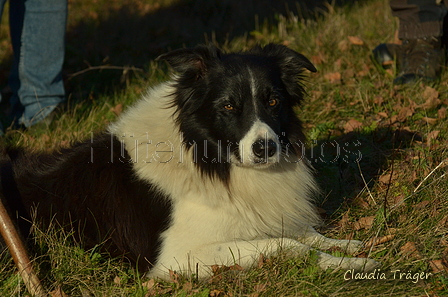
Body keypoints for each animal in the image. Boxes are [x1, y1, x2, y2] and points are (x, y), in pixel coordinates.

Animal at [0, 44, 378, 280]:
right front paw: (343, 263)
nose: (266, 149)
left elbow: (304, 232)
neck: (205, 158)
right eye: (228, 106)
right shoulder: (176, 256)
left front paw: (346, 247)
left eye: (273, 102)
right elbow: (286, 244)